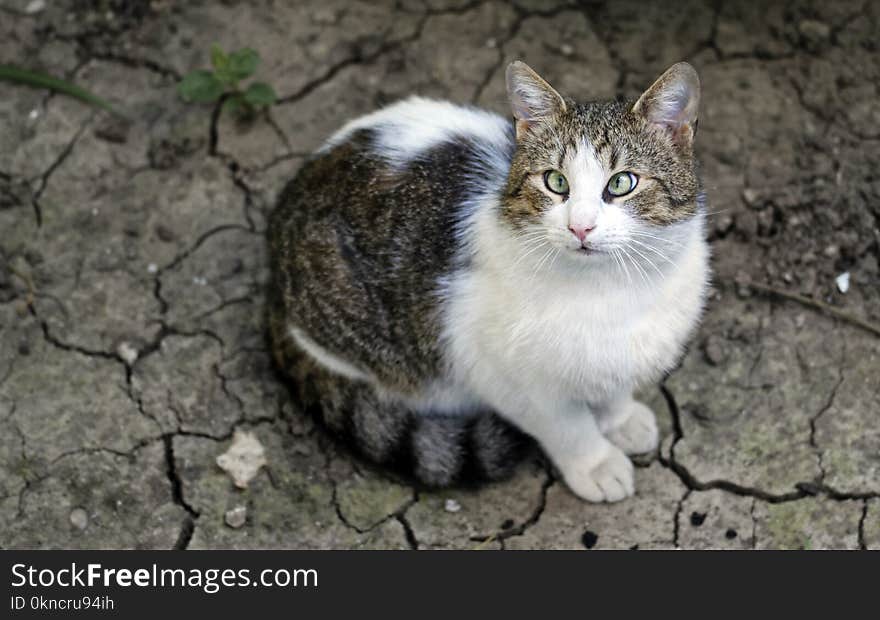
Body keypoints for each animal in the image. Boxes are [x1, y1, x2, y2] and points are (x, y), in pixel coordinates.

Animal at [266, 60, 708, 502]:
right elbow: (566, 426)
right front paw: (595, 464)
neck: (613, 288)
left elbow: (613, 385)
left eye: (621, 183)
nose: (580, 227)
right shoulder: (498, 371)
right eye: (555, 182)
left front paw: (620, 418)